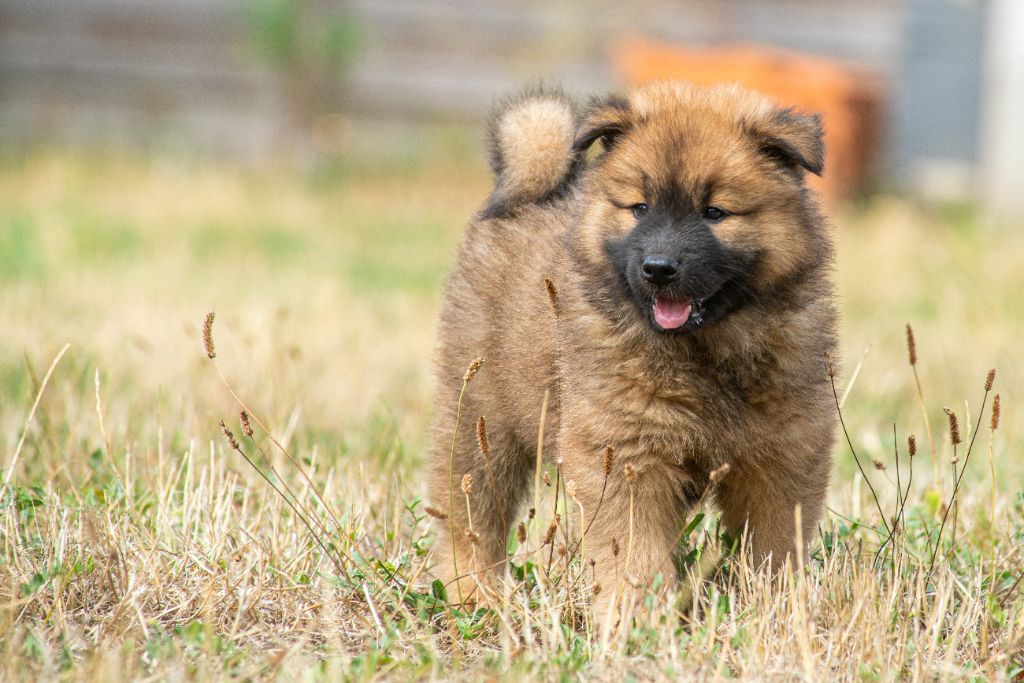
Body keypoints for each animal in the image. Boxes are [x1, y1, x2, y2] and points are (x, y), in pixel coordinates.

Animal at [428, 82, 835, 610]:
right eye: (640, 208)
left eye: (715, 212)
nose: (658, 268)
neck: (704, 353)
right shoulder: (626, 455)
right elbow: (634, 550)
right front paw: (634, 615)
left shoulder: (782, 457)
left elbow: (774, 544)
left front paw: (778, 606)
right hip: (480, 418)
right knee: (470, 512)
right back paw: (472, 590)